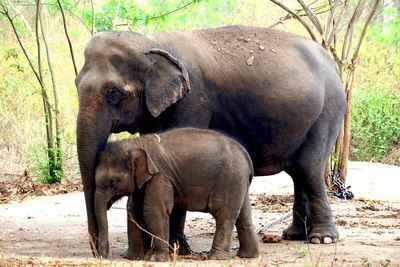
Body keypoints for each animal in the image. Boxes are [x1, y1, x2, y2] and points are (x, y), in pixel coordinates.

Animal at [94, 127, 260, 262]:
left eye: (113, 181)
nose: (104, 256)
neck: (137, 143)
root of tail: (247, 156)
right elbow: (134, 208)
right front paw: (132, 258)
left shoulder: (159, 176)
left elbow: (153, 210)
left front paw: (156, 260)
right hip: (239, 182)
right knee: (243, 215)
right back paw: (248, 255)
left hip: (230, 179)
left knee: (223, 214)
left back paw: (216, 258)